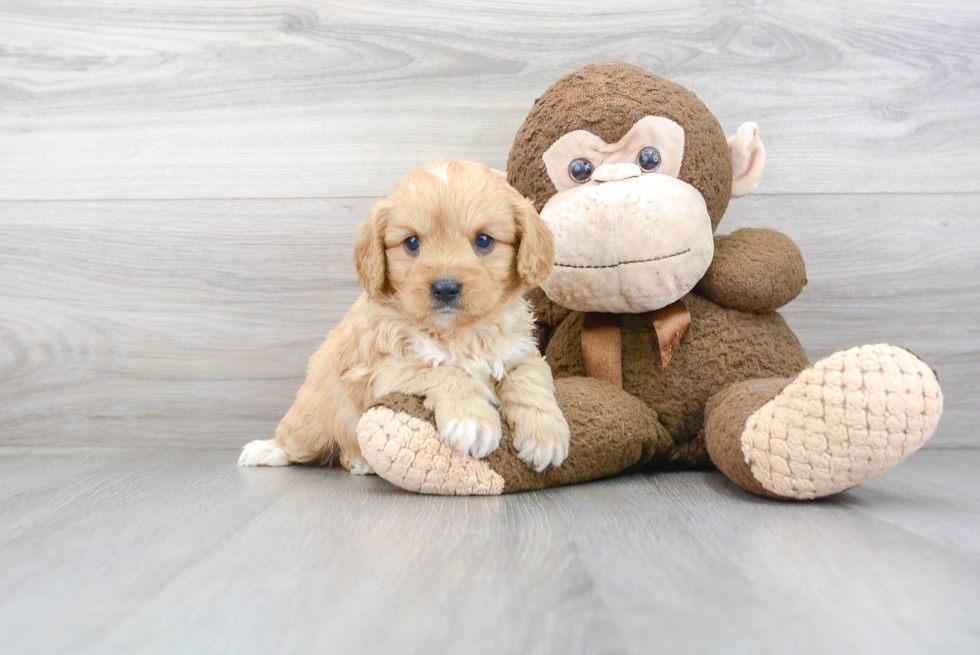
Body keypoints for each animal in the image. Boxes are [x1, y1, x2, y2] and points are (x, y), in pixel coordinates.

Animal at [239, 159, 576, 476]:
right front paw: (472, 420)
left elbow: (530, 381)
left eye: (483, 240)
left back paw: (360, 462)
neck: (458, 333)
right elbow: (445, 371)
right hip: (311, 422)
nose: (445, 288)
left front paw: (546, 436)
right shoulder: (384, 369)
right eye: (412, 242)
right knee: (297, 442)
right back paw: (265, 450)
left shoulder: (521, 352)